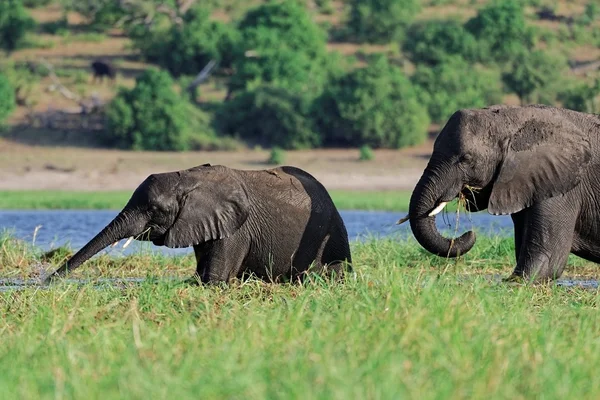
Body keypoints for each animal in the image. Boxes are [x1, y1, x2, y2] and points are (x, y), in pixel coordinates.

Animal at [44, 164, 354, 282]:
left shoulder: (236, 229)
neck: (188, 177)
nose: (46, 282)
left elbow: (214, 279)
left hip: (331, 233)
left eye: (154, 209)